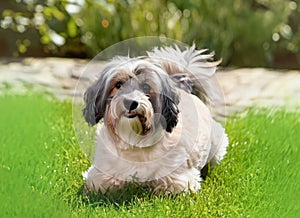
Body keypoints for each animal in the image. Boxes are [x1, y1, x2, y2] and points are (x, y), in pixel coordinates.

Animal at [81, 44, 227, 194]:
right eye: (118, 85)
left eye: (146, 87)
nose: (130, 102)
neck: (135, 141)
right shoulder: (99, 177)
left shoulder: (178, 182)